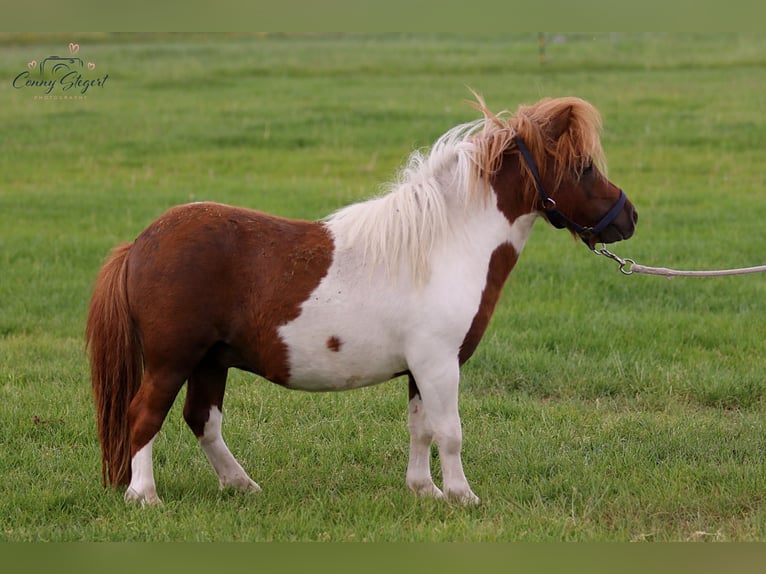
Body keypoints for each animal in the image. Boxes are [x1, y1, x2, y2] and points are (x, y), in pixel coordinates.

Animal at [84, 95, 640, 508]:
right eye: (583, 167)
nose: (628, 217)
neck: (444, 245)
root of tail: (140, 243)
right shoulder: (440, 363)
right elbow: (450, 431)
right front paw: (463, 496)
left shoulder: (420, 367)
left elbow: (421, 430)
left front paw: (425, 491)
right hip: (171, 361)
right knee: (144, 415)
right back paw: (145, 496)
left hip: (209, 361)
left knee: (203, 420)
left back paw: (241, 485)